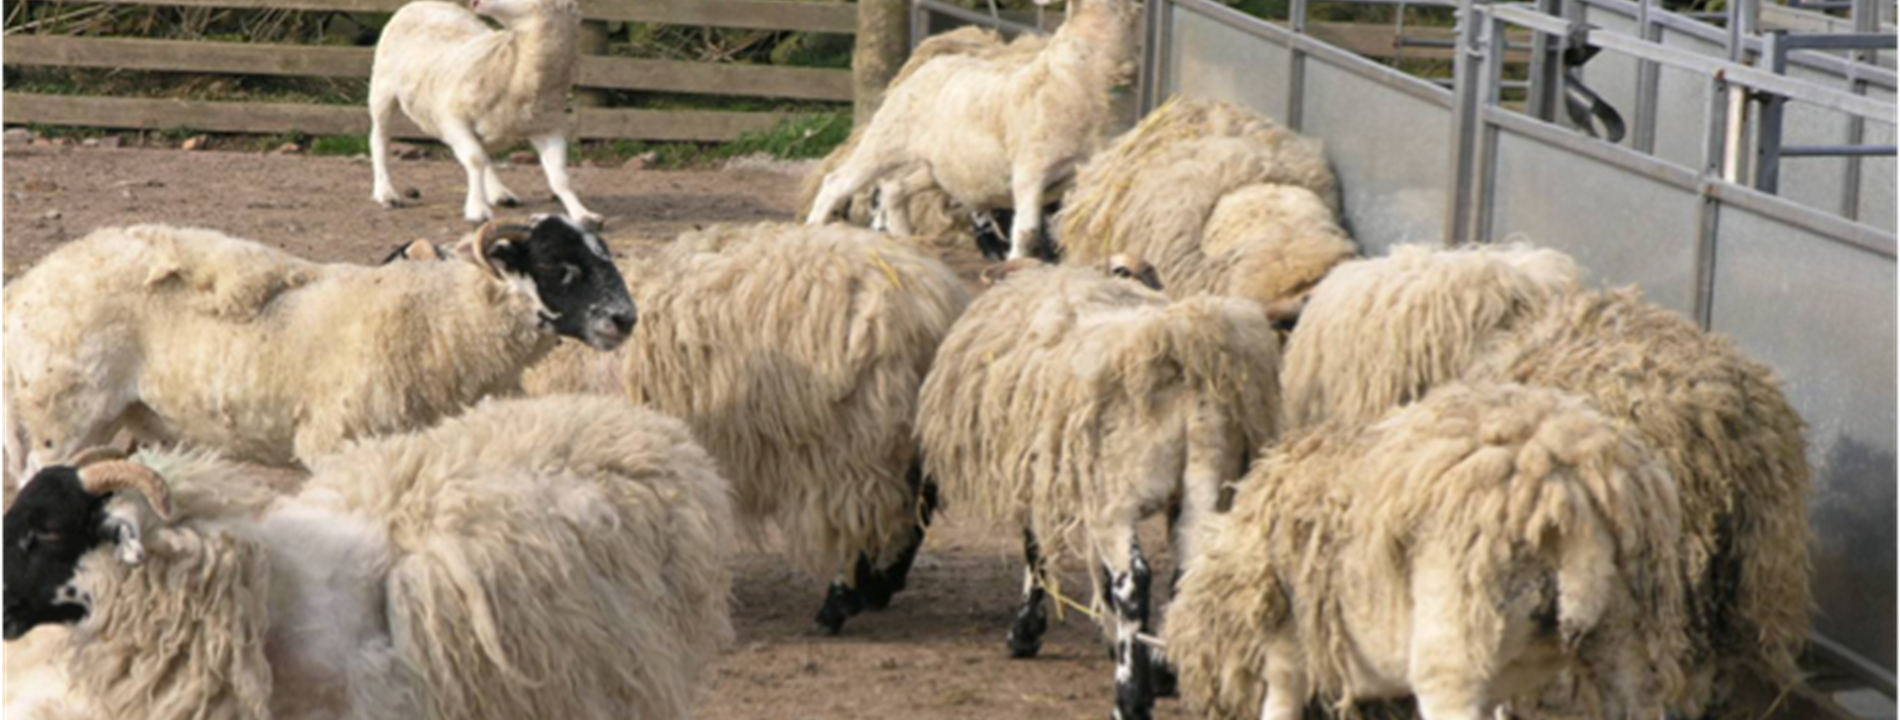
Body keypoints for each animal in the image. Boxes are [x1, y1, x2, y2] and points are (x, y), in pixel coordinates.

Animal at [0, 217, 636, 482]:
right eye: (558, 266)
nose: (626, 319)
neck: (439, 319)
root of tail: (26, 288)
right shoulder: (337, 441)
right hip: (62, 415)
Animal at [369, 0, 602, 226]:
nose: (475, 2)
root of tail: (422, 3)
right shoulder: (452, 120)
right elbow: (475, 160)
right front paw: (477, 209)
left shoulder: (547, 127)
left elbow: (560, 177)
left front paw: (583, 214)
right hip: (382, 88)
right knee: (380, 139)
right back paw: (386, 192)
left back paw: (499, 193)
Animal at [518, 222, 972, 635]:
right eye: (551, 263)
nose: (622, 319)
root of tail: (933, 303)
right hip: (903, 434)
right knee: (918, 505)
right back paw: (880, 589)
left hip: (857, 442)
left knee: (869, 518)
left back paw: (838, 606)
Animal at [805, 0, 1137, 261]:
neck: (1072, 80)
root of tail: (927, 63)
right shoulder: (1029, 170)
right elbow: (1027, 231)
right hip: (884, 141)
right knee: (837, 183)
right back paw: (812, 229)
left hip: (936, 167)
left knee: (895, 188)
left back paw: (904, 240)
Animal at [916, 262, 1282, 720]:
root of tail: (1184, 357)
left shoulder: (1038, 481)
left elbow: (1036, 552)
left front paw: (1025, 632)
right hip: (1205, 485)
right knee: (1187, 571)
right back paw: (1165, 668)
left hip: (1118, 498)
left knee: (1134, 581)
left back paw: (1130, 697)